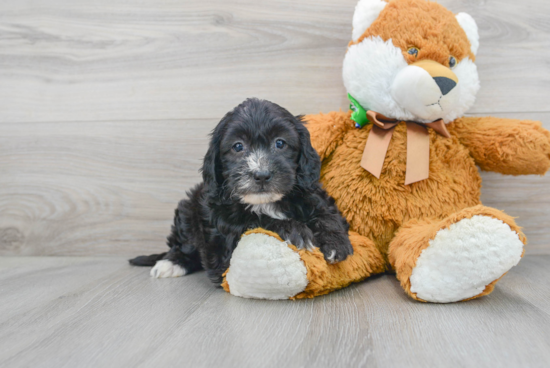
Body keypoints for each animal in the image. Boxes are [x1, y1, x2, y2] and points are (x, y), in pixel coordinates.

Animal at [129, 98, 354, 284]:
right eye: (238, 146)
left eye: (280, 143)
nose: (261, 175)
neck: (266, 202)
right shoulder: (224, 238)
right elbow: (256, 221)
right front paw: (295, 230)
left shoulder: (312, 193)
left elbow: (326, 213)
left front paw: (336, 241)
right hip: (187, 210)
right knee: (182, 246)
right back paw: (170, 263)